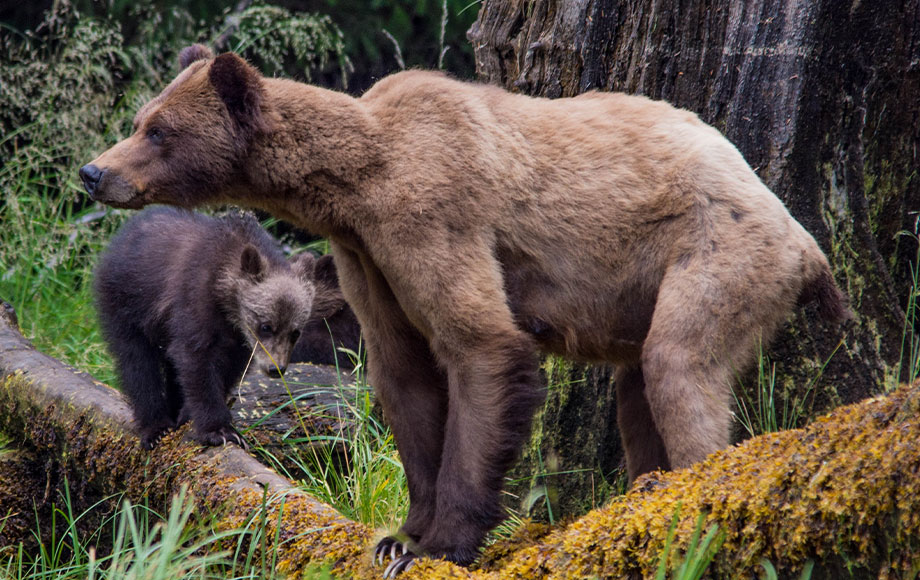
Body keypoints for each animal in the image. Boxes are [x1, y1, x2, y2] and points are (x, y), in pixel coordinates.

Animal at [94, 206, 316, 450]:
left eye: (295, 332)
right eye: (266, 326)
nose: (276, 368)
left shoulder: (239, 340)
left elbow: (226, 370)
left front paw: (189, 415)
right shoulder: (194, 301)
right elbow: (196, 361)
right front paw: (220, 430)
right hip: (127, 302)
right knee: (137, 361)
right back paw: (156, 427)